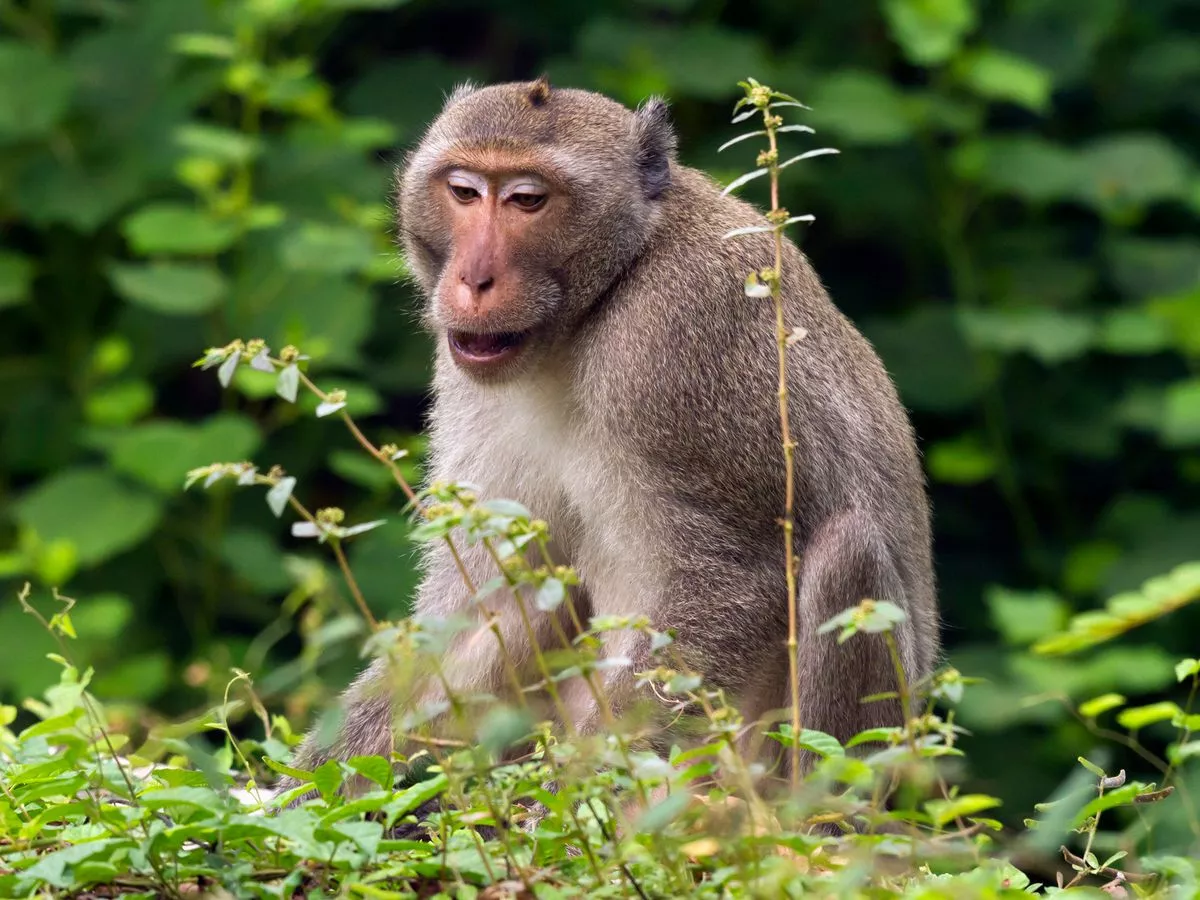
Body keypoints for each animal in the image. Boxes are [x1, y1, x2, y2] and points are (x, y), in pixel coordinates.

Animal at [276, 78, 939, 815]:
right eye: (465, 191)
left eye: (527, 200)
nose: (473, 281)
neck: (599, 299)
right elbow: (489, 601)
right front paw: (303, 791)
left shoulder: (678, 339)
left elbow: (738, 578)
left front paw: (570, 802)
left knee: (848, 551)